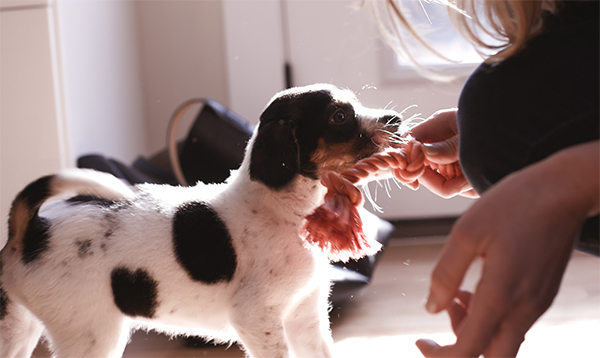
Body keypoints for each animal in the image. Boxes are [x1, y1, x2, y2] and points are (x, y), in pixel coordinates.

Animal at [1, 84, 404, 358]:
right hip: (92, 336)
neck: (284, 208)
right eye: (339, 116)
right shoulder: (257, 317)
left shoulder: (306, 317)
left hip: (20, 328)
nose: (396, 120)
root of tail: (33, 230)